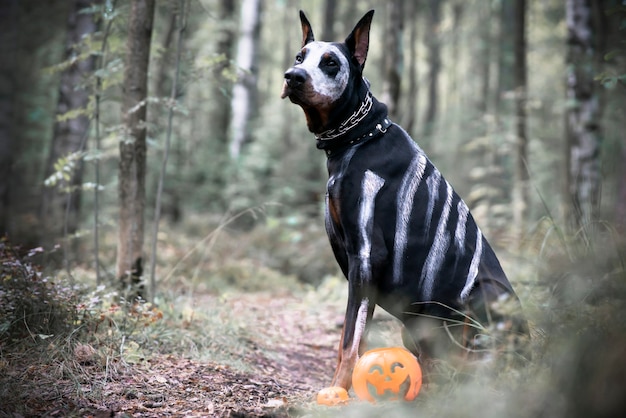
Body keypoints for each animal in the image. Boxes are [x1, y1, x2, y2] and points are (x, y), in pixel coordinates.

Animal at [280, 9, 524, 390]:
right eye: (299, 57)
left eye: (331, 62)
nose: (292, 77)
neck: (358, 137)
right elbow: (348, 340)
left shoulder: (367, 256)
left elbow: (350, 342)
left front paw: (339, 390)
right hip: (416, 329)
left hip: (487, 294)